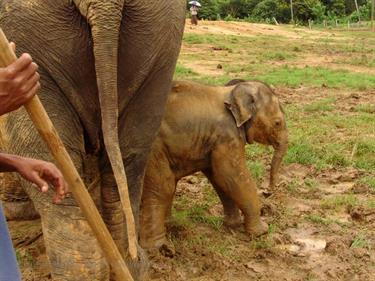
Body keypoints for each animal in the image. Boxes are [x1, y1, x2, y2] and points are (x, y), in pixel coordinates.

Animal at [140, 80, 290, 248]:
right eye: (277, 123)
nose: (268, 191)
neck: (232, 91)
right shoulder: (227, 135)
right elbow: (231, 176)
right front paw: (261, 231)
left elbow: (220, 179)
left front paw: (233, 226)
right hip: (152, 148)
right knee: (161, 187)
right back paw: (158, 247)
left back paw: (170, 227)